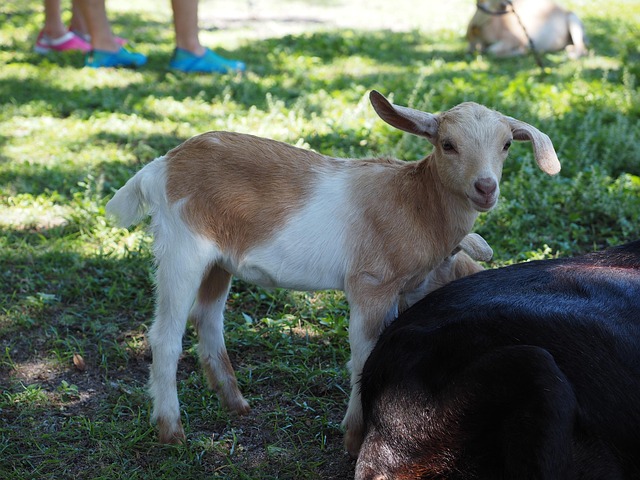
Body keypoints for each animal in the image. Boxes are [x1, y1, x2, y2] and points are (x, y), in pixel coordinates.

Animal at [105, 90, 560, 457]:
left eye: (506, 145)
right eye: (447, 145)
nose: (486, 188)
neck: (415, 202)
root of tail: (160, 167)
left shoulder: (398, 291)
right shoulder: (370, 284)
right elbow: (363, 356)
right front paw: (353, 439)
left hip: (219, 260)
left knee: (208, 318)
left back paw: (236, 404)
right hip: (182, 248)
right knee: (165, 336)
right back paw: (172, 432)